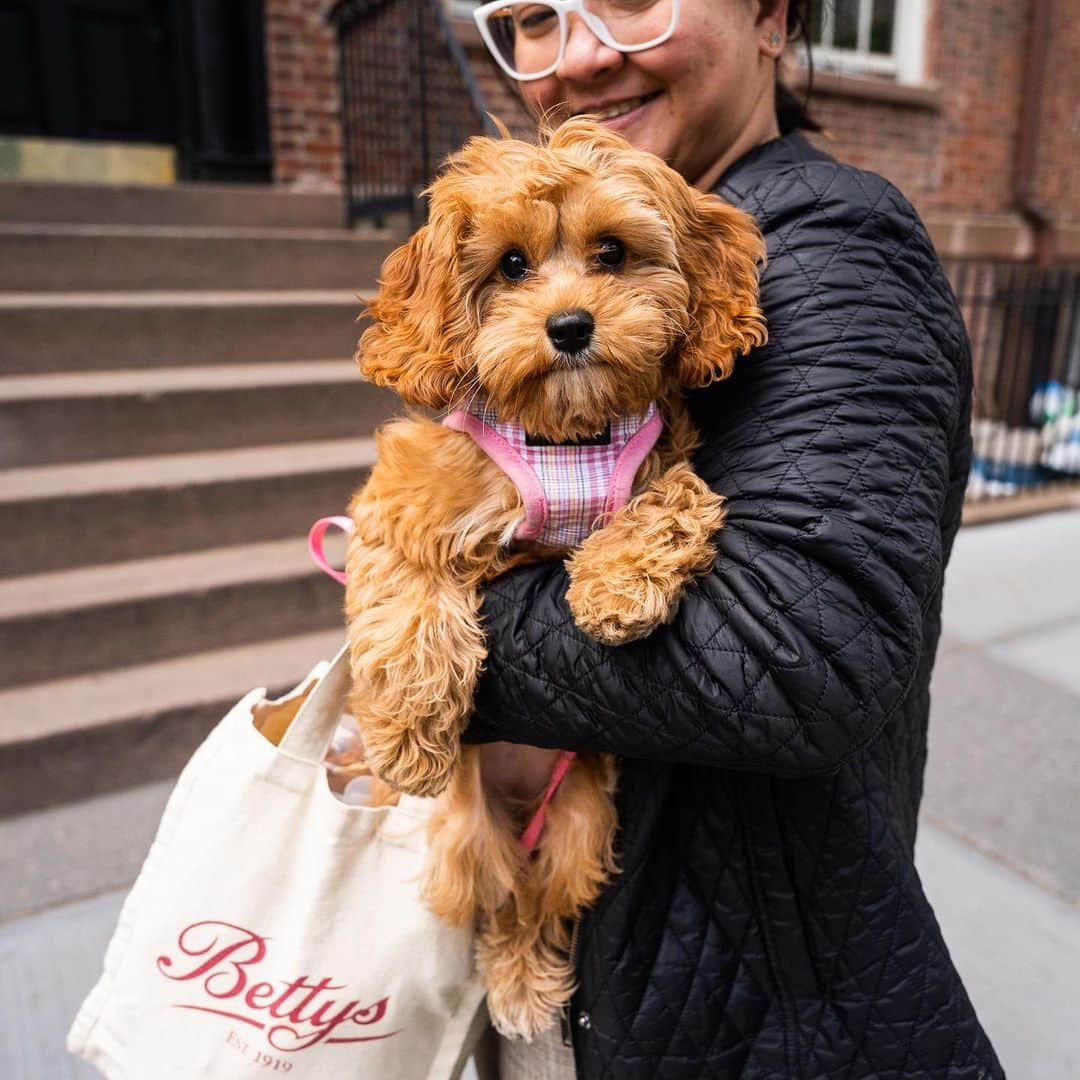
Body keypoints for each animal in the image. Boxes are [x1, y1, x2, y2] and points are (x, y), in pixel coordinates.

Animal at [345, 118, 768, 1036]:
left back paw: (523, 984)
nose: (570, 325)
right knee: (501, 894)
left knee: (537, 900)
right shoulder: (407, 495)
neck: (568, 436)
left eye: (611, 251)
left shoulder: (665, 464)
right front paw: (407, 732)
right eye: (510, 265)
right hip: (468, 837)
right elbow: (408, 601)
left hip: (579, 824)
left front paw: (615, 587)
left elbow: (670, 502)